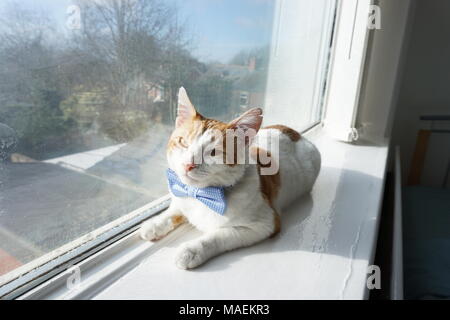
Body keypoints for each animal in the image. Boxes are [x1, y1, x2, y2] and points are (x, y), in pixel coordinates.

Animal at [141, 87, 320, 270]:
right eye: (183, 142)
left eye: (213, 152)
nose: (188, 165)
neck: (202, 195)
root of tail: (295, 133)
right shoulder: (181, 195)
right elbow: (176, 209)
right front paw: (156, 223)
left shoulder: (265, 224)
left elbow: (221, 234)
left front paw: (192, 250)